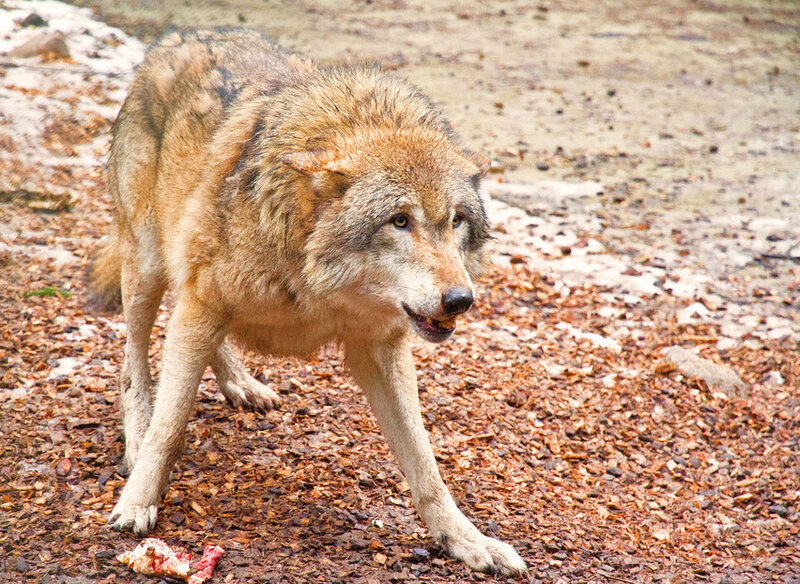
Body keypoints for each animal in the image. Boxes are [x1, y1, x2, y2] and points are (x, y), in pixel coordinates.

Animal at [90, 29, 525, 575]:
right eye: (400, 221)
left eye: (456, 221)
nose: (460, 299)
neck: (315, 282)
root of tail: (175, 39)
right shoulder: (204, 302)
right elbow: (169, 426)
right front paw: (138, 501)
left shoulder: (380, 347)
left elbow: (425, 464)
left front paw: (467, 541)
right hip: (147, 265)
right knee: (133, 364)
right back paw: (137, 435)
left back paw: (241, 383)